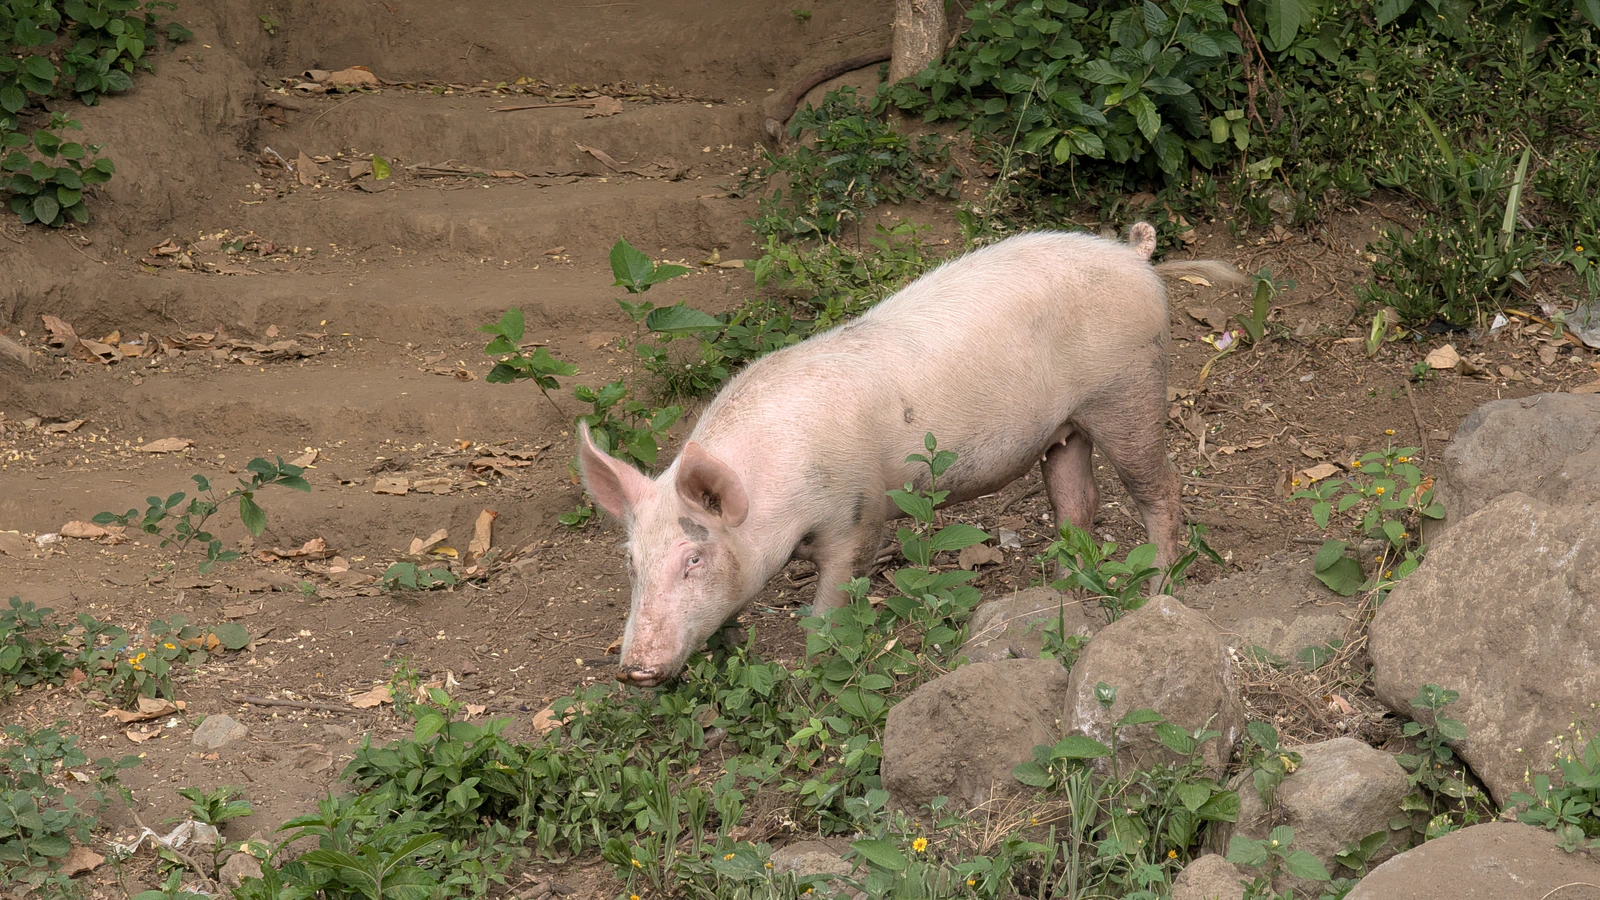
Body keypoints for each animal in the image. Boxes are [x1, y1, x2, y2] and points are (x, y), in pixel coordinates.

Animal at [578, 223, 1244, 686]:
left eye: (693, 558)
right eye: (631, 561)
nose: (632, 669)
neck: (777, 492)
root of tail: (1135, 256)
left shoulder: (860, 512)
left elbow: (834, 600)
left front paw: (812, 671)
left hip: (1130, 392)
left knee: (1161, 491)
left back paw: (1156, 591)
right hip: (1066, 428)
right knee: (1078, 504)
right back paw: (1057, 592)